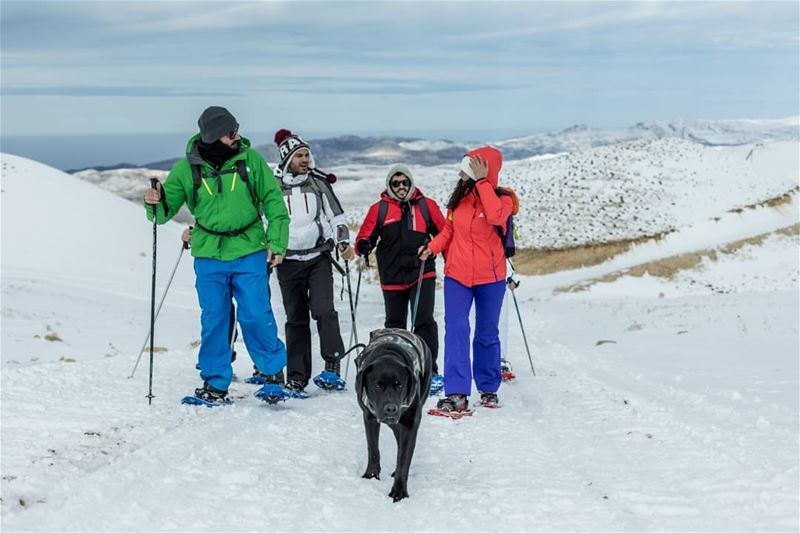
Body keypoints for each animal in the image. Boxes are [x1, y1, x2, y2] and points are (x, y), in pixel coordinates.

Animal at [356, 326, 432, 500]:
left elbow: (403, 458)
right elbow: (373, 448)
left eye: (400, 385)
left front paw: (399, 490)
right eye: (377, 386)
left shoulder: (411, 421)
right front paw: (371, 475)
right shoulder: (369, 416)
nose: (391, 408)